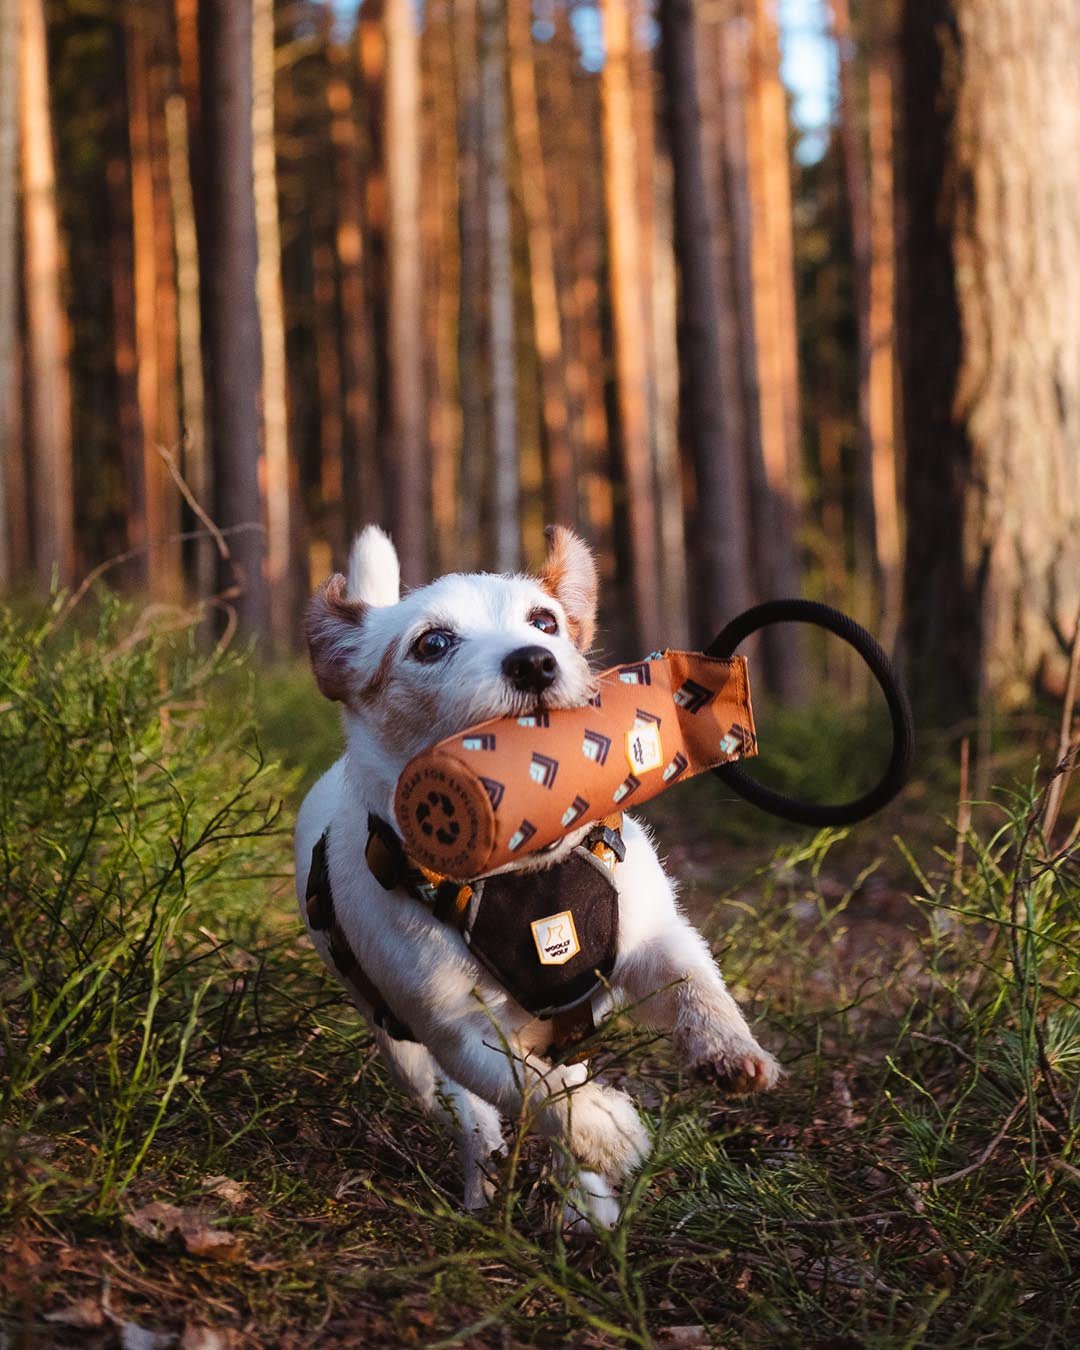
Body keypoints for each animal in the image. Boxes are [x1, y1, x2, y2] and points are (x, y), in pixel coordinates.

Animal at [295, 526, 777, 1236]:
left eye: (544, 622)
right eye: (431, 643)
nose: (535, 662)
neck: (525, 873)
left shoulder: (653, 941)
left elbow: (698, 988)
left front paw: (728, 1049)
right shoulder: (456, 1032)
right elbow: (536, 1095)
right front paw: (609, 1132)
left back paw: (582, 1201)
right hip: (406, 1053)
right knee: (471, 1115)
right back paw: (488, 1178)